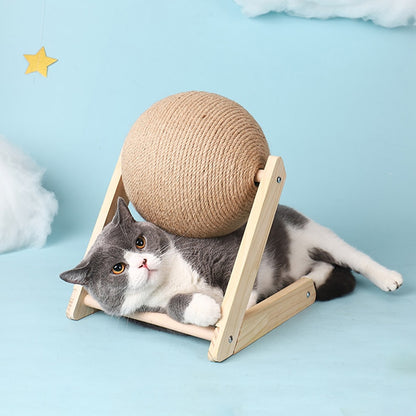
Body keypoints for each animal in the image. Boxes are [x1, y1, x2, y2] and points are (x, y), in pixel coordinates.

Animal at [59, 199, 404, 328]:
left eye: (139, 242)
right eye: (117, 268)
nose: (142, 262)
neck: (173, 278)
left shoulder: (219, 250)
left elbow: (235, 275)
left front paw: (241, 302)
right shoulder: (153, 307)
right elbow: (173, 306)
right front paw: (209, 311)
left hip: (311, 231)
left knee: (354, 259)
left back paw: (389, 277)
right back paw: (314, 278)